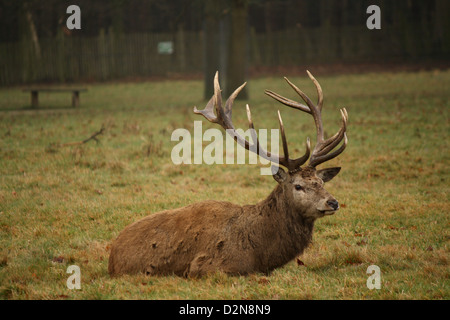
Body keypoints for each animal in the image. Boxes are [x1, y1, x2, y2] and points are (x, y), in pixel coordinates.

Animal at [109, 70, 348, 278]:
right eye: (298, 185)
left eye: (320, 182)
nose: (333, 202)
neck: (261, 253)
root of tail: (111, 256)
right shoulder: (208, 266)